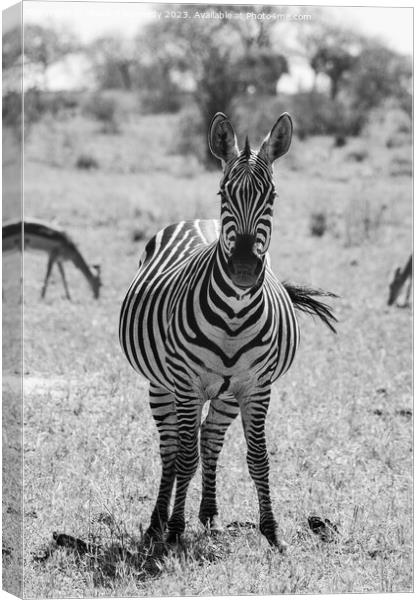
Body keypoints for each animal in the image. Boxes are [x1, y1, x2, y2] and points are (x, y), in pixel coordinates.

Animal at [119, 112, 338, 552]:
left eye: (272, 196)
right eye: (224, 193)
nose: (243, 271)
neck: (234, 316)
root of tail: (198, 221)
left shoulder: (256, 386)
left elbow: (258, 458)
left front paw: (273, 533)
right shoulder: (186, 384)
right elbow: (184, 459)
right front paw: (174, 531)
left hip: (225, 394)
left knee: (210, 439)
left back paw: (210, 516)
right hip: (161, 384)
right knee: (172, 449)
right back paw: (157, 525)